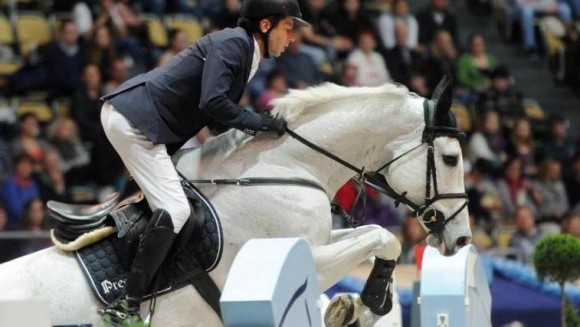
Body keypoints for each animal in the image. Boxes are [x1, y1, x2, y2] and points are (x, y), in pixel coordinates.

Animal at [0, 80, 472, 327]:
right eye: (451, 158)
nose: (462, 240)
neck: (285, 165)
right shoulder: (305, 257)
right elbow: (382, 236)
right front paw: (366, 302)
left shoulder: (317, 242)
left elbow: (378, 240)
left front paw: (355, 306)